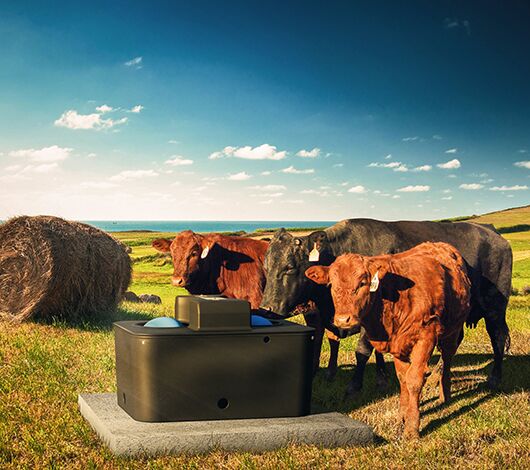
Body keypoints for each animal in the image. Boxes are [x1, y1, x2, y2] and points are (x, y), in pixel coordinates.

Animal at [260, 218, 512, 392]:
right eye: (266, 267)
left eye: (290, 267)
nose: (267, 308)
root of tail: (494, 234)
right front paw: (381, 377)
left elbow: (362, 350)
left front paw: (355, 385)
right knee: (454, 340)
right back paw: (437, 373)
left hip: (495, 307)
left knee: (498, 337)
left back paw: (495, 377)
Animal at [304, 242, 468, 440]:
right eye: (332, 285)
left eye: (362, 283)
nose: (343, 320)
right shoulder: (398, 344)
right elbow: (403, 379)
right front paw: (402, 417)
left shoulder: (426, 337)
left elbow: (414, 380)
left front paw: (412, 428)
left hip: (453, 330)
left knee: (447, 357)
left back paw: (445, 395)